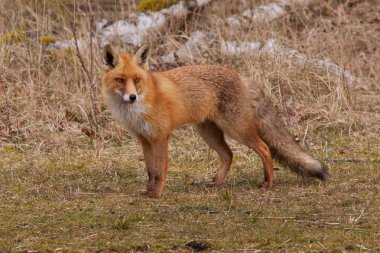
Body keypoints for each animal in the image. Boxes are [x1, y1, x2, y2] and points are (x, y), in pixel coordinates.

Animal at [101, 44, 330, 198]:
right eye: (120, 80)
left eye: (137, 80)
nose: (132, 97)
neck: (139, 107)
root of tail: (241, 77)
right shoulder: (145, 139)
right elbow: (150, 170)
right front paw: (148, 192)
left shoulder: (161, 137)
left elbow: (160, 170)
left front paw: (157, 194)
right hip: (209, 133)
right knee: (229, 155)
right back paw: (216, 184)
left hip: (237, 129)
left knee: (265, 148)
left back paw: (268, 183)